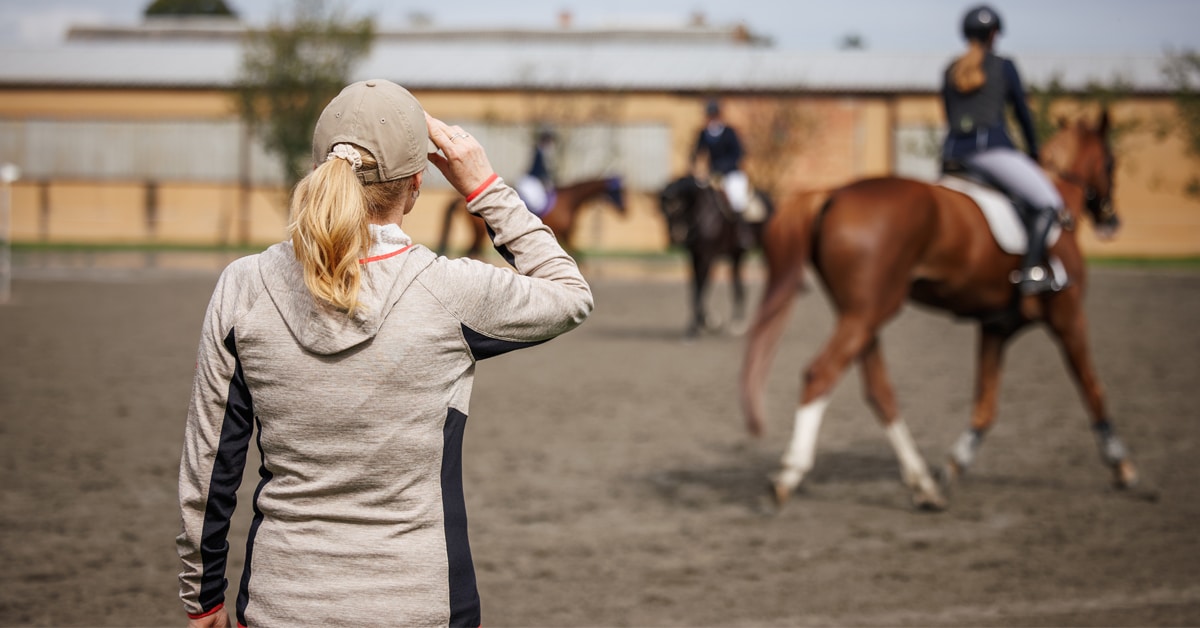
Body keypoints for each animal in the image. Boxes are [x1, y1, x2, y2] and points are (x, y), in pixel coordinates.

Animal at [437, 176, 626, 259]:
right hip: (478, 232)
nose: (626, 211)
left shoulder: (565, 236)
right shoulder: (565, 235)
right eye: (617, 191)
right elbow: (579, 256)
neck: (570, 200)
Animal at [658, 175, 772, 337]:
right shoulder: (695, 257)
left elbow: (701, 289)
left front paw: (702, 325)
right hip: (736, 255)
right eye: (661, 210)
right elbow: (696, 288)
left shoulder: (707, 257)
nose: (675, 237)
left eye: (676, 206)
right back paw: (738, 321)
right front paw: (706, 323)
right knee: (738, 286)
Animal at [740, 112, 1133, 510]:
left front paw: (953, 466)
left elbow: (985, 405)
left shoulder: (996, 327)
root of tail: (832, 195)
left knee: (878, 391)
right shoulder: (1068, 317)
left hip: (860, 315)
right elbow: (1092, 389)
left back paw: (924, 484)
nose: (1112, 221)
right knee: (821, 374)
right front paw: (1121, 466)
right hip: (868, 313)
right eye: (1111, 162)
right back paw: (789, 475)